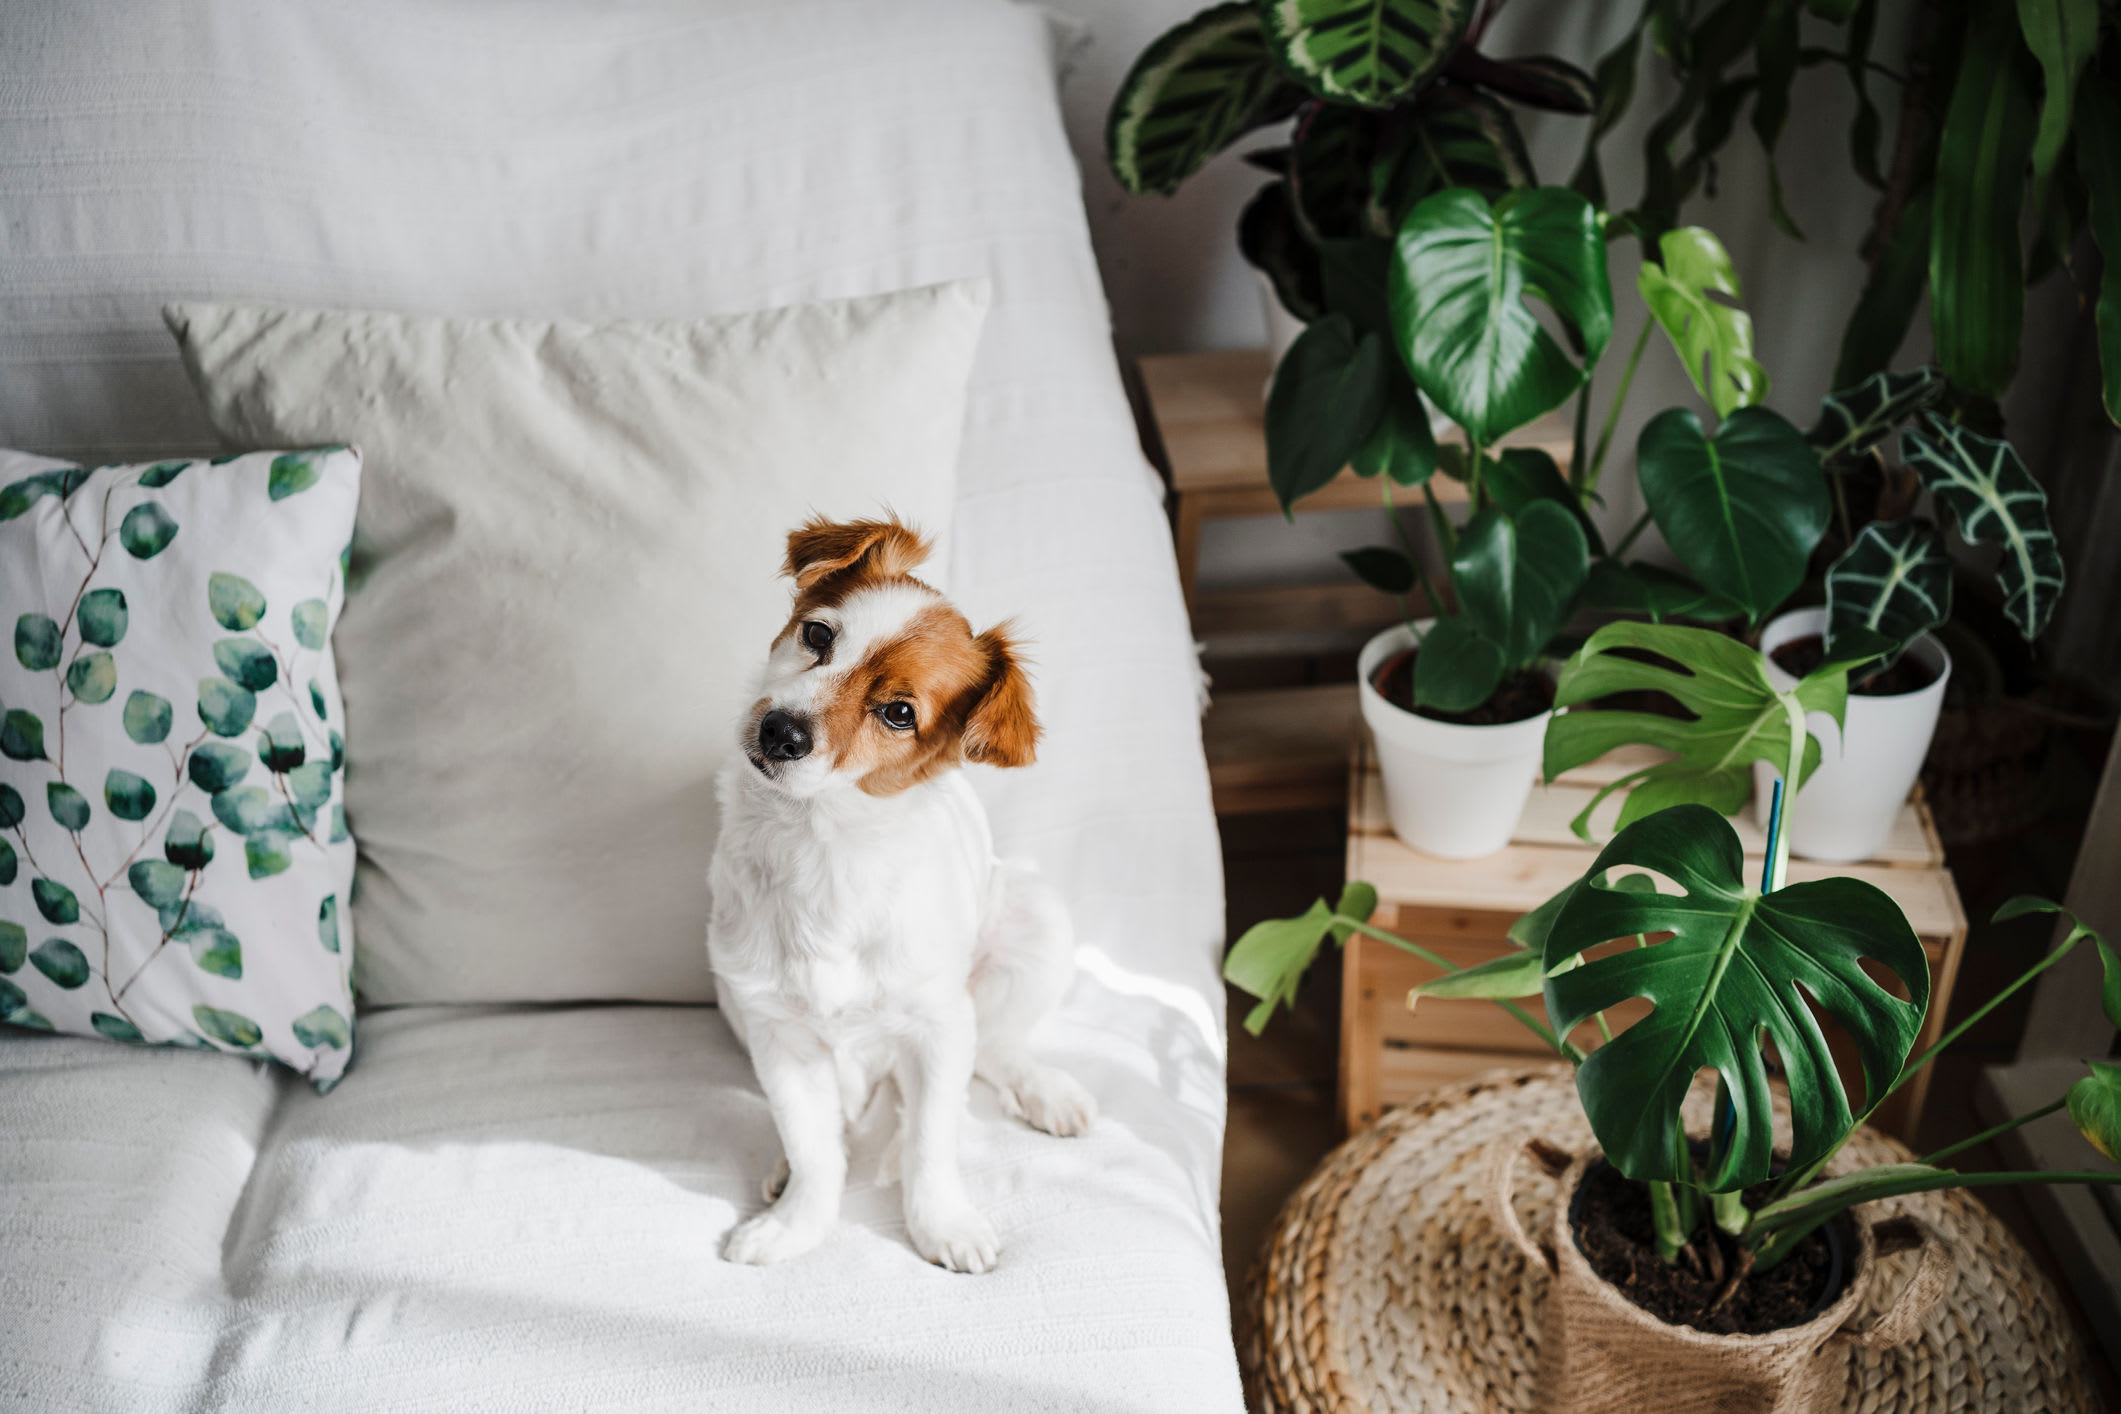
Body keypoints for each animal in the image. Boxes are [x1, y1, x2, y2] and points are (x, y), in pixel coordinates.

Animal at [712, 517, 1102, 1271]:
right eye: (818, 635)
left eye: (898, 712)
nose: (780, 730)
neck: (823, 847)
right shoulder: (776, 1031)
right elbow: (814, 1147)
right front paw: (795, 1223)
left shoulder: (937, 1027)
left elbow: (929, 1143)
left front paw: (941, 1223)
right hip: (731, 997)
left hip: (1035, 921)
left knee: (998, 1047)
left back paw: (1043, 1090)